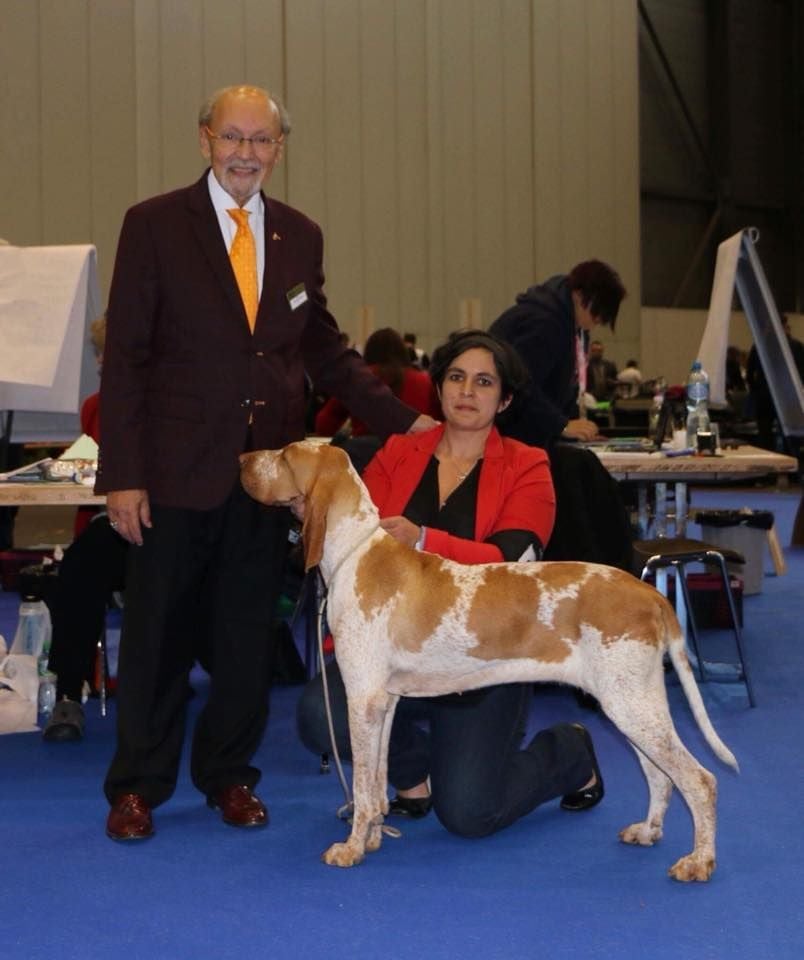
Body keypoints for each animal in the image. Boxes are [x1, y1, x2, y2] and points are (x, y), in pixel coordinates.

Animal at [240, 440, 739, 882]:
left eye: (284, 455)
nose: (243, 458)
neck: (355, 554)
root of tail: (649, 593)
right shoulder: (383, 702)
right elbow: (376, 779)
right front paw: (375, 838)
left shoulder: (360, 699)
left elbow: (363, 787)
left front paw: (351, 849)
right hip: (635, 703)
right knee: (660, 776)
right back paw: (648, 831)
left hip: (630, 704)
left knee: (700, 780)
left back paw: (699, 862)